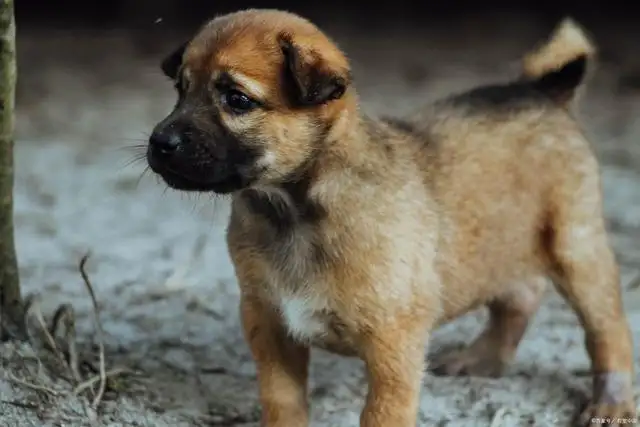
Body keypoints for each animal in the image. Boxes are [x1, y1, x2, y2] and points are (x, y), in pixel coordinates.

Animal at [149, 10, 636, 427]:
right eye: (180, 90)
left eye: (237, 99)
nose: (159, 143)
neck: (295, 211)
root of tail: (541, 90)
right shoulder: (268, 325)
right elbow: (282, 401)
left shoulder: (393, 345)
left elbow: (381, 414)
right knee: (520, 295)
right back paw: (484, 358)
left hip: (576, 247)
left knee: (607, 331)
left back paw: (611, 402)